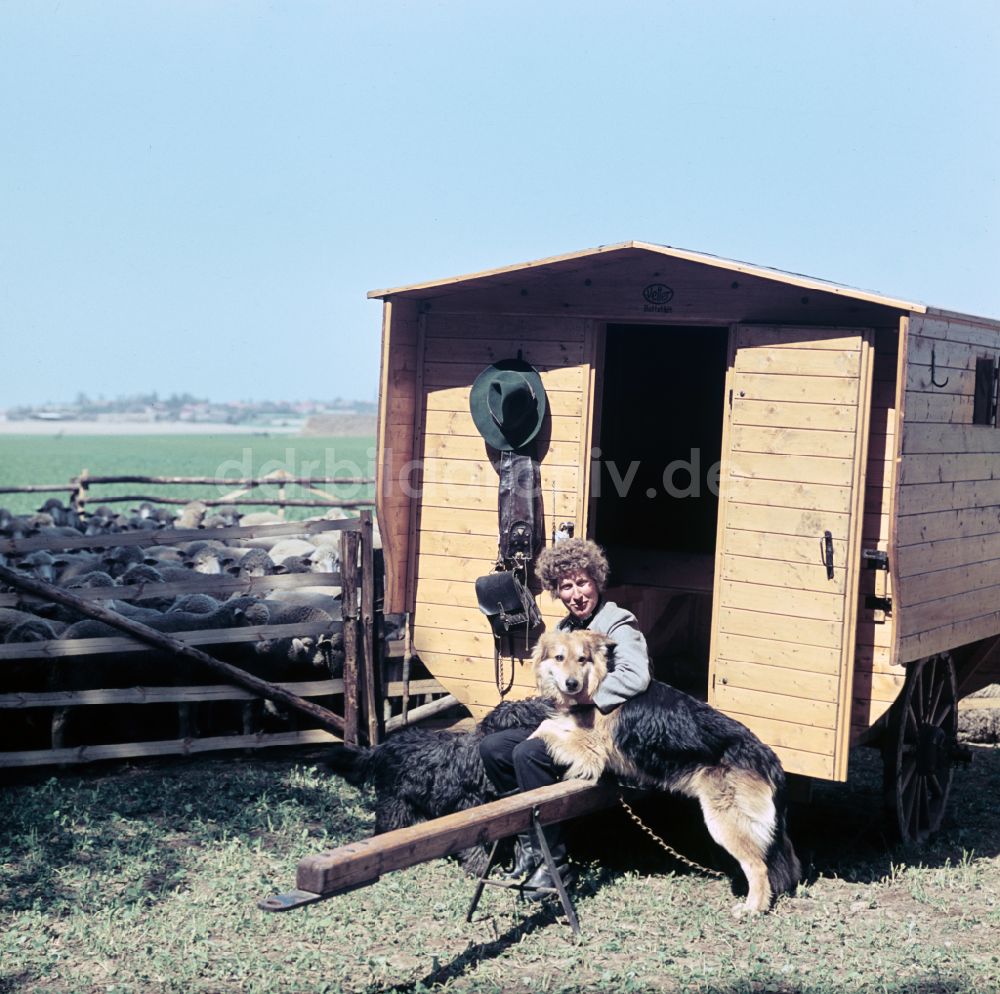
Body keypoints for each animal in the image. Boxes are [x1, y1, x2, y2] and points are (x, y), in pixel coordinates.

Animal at [326, 692, 548, 872]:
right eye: (522, 718)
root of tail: (382, 747)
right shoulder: (467, 808)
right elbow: (475, 846)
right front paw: (481, 867)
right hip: (395, 802)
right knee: (387, 827)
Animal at [532, 632, 796, 912]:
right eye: (559, 657)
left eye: (582, 659)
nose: (571, 684)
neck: (596, 684)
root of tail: (766, 756)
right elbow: (551, 722)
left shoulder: (591, 751)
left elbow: (544, 726)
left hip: (725, 821)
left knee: (758, 867)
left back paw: (752, 908)